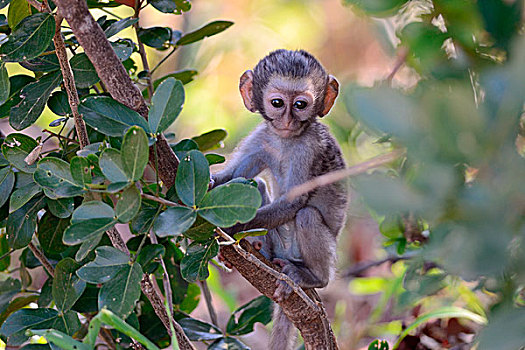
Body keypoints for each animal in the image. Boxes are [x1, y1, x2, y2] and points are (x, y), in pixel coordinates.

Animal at [211, 50, 346, 350]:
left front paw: (232, 228)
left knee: (306, 215)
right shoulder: (263, 136)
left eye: (300, 105)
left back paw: (313, 277)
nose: (287, 120)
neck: (286, 140)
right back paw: (257, 248)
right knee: (255, 185)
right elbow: (234, 176)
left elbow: (294, 202)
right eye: (277, 103)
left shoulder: (309, 148)